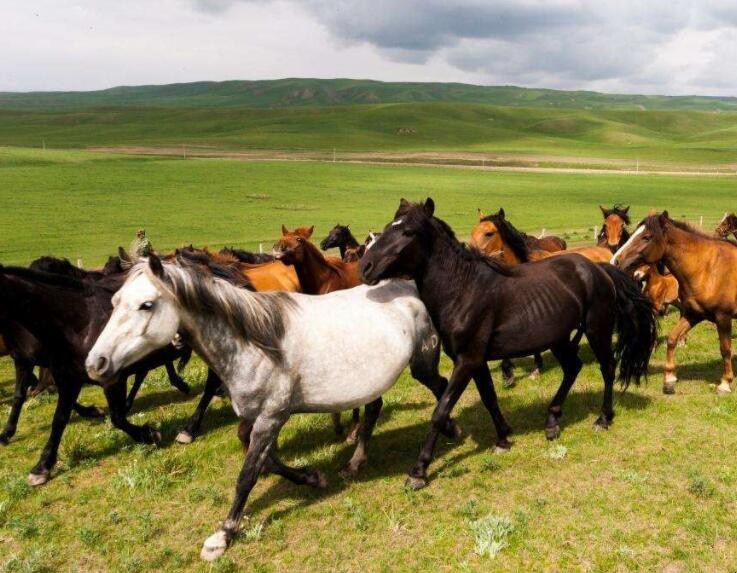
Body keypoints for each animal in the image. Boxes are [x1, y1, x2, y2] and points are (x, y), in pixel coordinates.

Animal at [83, 254, 458, 560]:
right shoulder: (256, 418)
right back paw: (355, 462)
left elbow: (248, 475)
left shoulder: (272, 416)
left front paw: (222, 536)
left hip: (421, 364)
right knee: (374, 409)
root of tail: (409, 286)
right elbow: (265, 459)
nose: (95, 364)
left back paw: (444, 439)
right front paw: (311, 477)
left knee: (441, 387)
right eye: (114, 301)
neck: (258, 343)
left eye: (146, 305)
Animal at [362, 199, 656, 490]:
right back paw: (552, 422)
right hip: (559, 338)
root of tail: (600, 269)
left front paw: (419, 471)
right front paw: (503, 439)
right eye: (388, 227)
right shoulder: (476, 361)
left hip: (597, 330)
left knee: (607, 367)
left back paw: (603, 418)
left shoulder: (467, 361)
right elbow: (489, 399)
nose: (365, 266)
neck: (463, 289)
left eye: (408, 232)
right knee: (573, 368)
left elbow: (441, 410)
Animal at [612, 212, 736, 396]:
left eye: (647, 237)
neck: (707, 268)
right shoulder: (693, 314)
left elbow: (725, 350)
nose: (616, 261)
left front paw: (725, 383)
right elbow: (672, 339)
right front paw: (669, 380)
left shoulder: (723, 317)